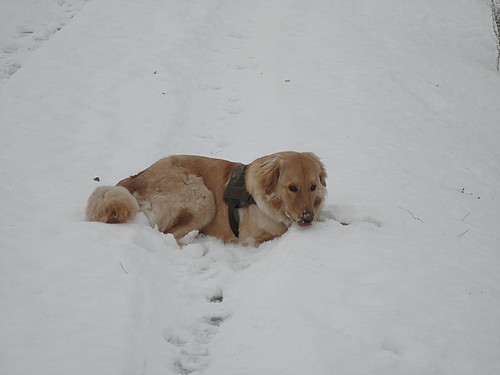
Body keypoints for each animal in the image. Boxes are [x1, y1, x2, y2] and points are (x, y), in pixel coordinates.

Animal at [85, 153, 328, 247]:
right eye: (292, 188)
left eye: (313, 186)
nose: (307, 217)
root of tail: (139, 175)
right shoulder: (252, 237)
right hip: (203, 198)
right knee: (167, 234)